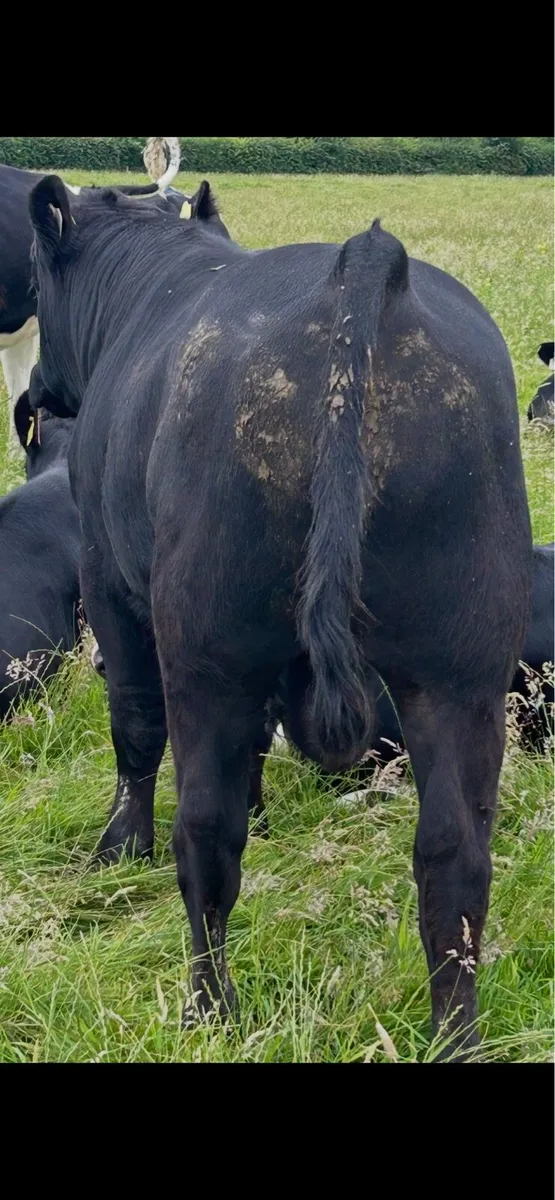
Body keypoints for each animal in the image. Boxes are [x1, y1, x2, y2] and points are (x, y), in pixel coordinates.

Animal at [28, 174, 533, 1060]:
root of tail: (366, 268)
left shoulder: (107, 576)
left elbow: (134, 727)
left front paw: (118, 849)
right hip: (461, 664)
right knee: (454, 856)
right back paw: (454, 1036)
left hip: (207, 647)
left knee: (205, 831)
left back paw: (207, 1011)